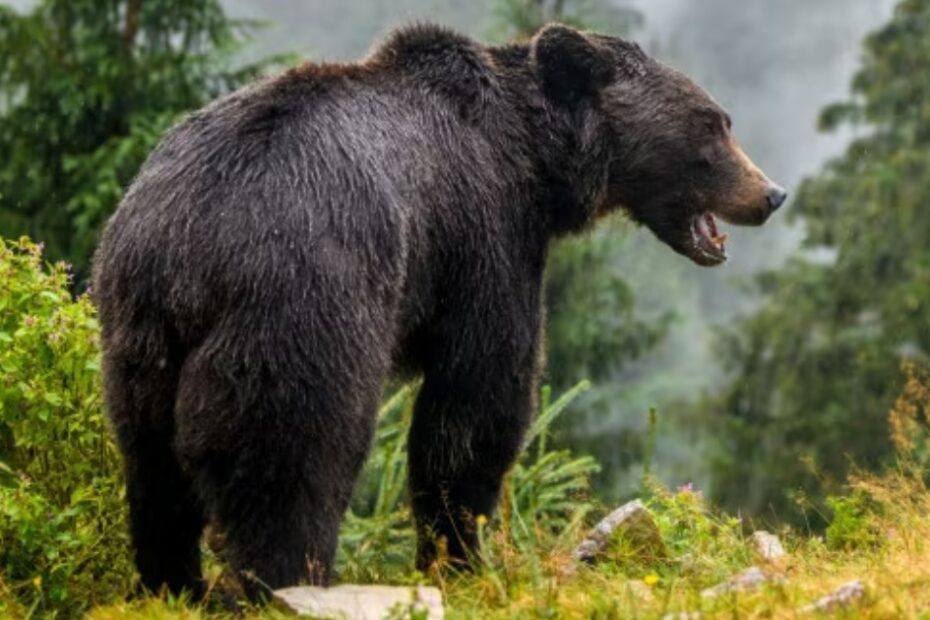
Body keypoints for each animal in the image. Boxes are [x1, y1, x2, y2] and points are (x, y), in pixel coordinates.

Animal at [90, 21, 784, 600]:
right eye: (713, 123)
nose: (771, 193)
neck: (538, 163)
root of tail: (189, 250)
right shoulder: (484, 237)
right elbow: (477, 399)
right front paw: (462, 556)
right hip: (301, 302)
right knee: (293, 456)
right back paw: (284, 582)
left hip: (137, 335)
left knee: (152, 470)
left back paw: (172, 584)